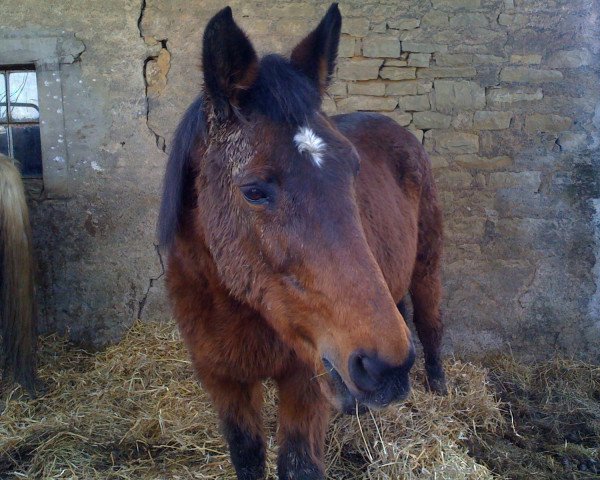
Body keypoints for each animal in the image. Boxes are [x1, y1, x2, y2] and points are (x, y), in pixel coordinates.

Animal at [159, 2, 446, 476]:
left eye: (352, 169)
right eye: (254, 190)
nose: (385, 366)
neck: (236, 306)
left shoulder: (305, 380)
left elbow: (298, 463)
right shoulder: (223, 382)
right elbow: (247, 457)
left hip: (427, 268)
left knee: (430, 323)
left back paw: (440, 392)